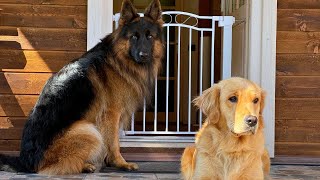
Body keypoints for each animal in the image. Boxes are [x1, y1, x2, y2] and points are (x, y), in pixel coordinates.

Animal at [0, 0, 164, 174]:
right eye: (134, 37)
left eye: (150, 37)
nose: (144, 55)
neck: (118, 59)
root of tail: (26, 162)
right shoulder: (112, 114)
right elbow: (114, 143)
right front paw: (120, 163)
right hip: (87, 129)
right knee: (61, 164)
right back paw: (86, 165)